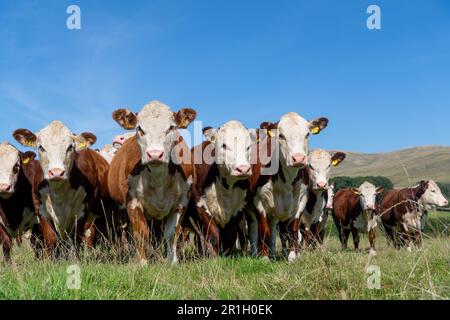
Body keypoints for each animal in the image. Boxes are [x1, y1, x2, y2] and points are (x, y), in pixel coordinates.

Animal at [12, 121, 111, 254]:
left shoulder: (83, 210)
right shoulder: (40, 209)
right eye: (41, 147)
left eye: (70, 147)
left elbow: (76, 239)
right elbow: (51, 239)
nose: (56, 172)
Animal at [108, 100, 195, 264]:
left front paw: (172, 261)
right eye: (139, 128)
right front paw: (142, 263)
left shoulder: (182, 202)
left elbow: (171, 232)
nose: (155, 154)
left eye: (171, 127)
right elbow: (141, 232)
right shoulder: (132, 201)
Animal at [185, 121, 256, 256]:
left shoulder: (238, 210)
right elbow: (213, 235)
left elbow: (230, 237)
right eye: (224, 145)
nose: (243, 169)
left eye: (249, 147)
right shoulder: (201, 207)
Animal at [246, 114, 326, 258]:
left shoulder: (301, 201)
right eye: (281, 135)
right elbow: (264, 230)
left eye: (307, 134)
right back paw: (256, 253)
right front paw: (264, 257)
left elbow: (293, 230)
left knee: (273, 229)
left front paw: (292, 256)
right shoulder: (258, 201)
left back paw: (272, 253)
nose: (298, 158)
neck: (287, 181)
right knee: (254, 228)